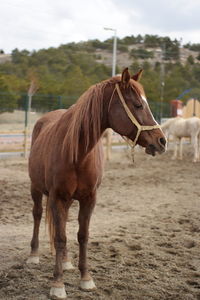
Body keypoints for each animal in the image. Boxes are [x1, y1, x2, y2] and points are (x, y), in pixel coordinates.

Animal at [27, 69, 166, 298]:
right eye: (138, 105)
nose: (162, 141)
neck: (77, 153)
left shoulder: (89, 198)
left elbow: (82, 235)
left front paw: (86, 278)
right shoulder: (57, 197)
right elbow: (60, 237)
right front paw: (58, 284)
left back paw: (65, 261)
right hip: (36, 189)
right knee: (38, 216)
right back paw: (34, 255)